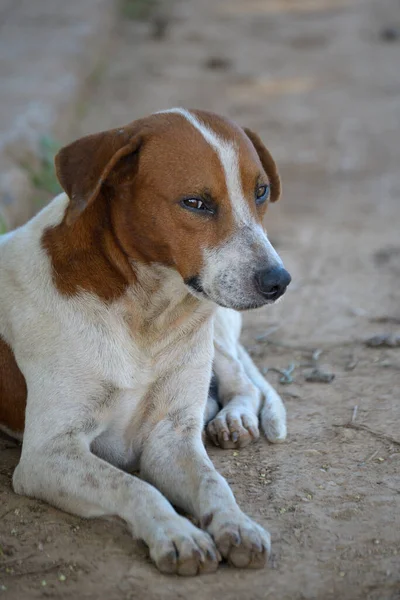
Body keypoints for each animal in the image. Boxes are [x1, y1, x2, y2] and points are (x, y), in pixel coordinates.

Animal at [1, 109, 292, 576]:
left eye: (261, 191)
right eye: (195, 203)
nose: (278, 281)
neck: (147, 314)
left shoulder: (169, 438)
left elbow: (214, 483)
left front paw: (237, 523)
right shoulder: (48, 454)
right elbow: (134, 487)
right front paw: (176, 533)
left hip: (215, 332)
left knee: (241, 380)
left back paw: (233, 418)